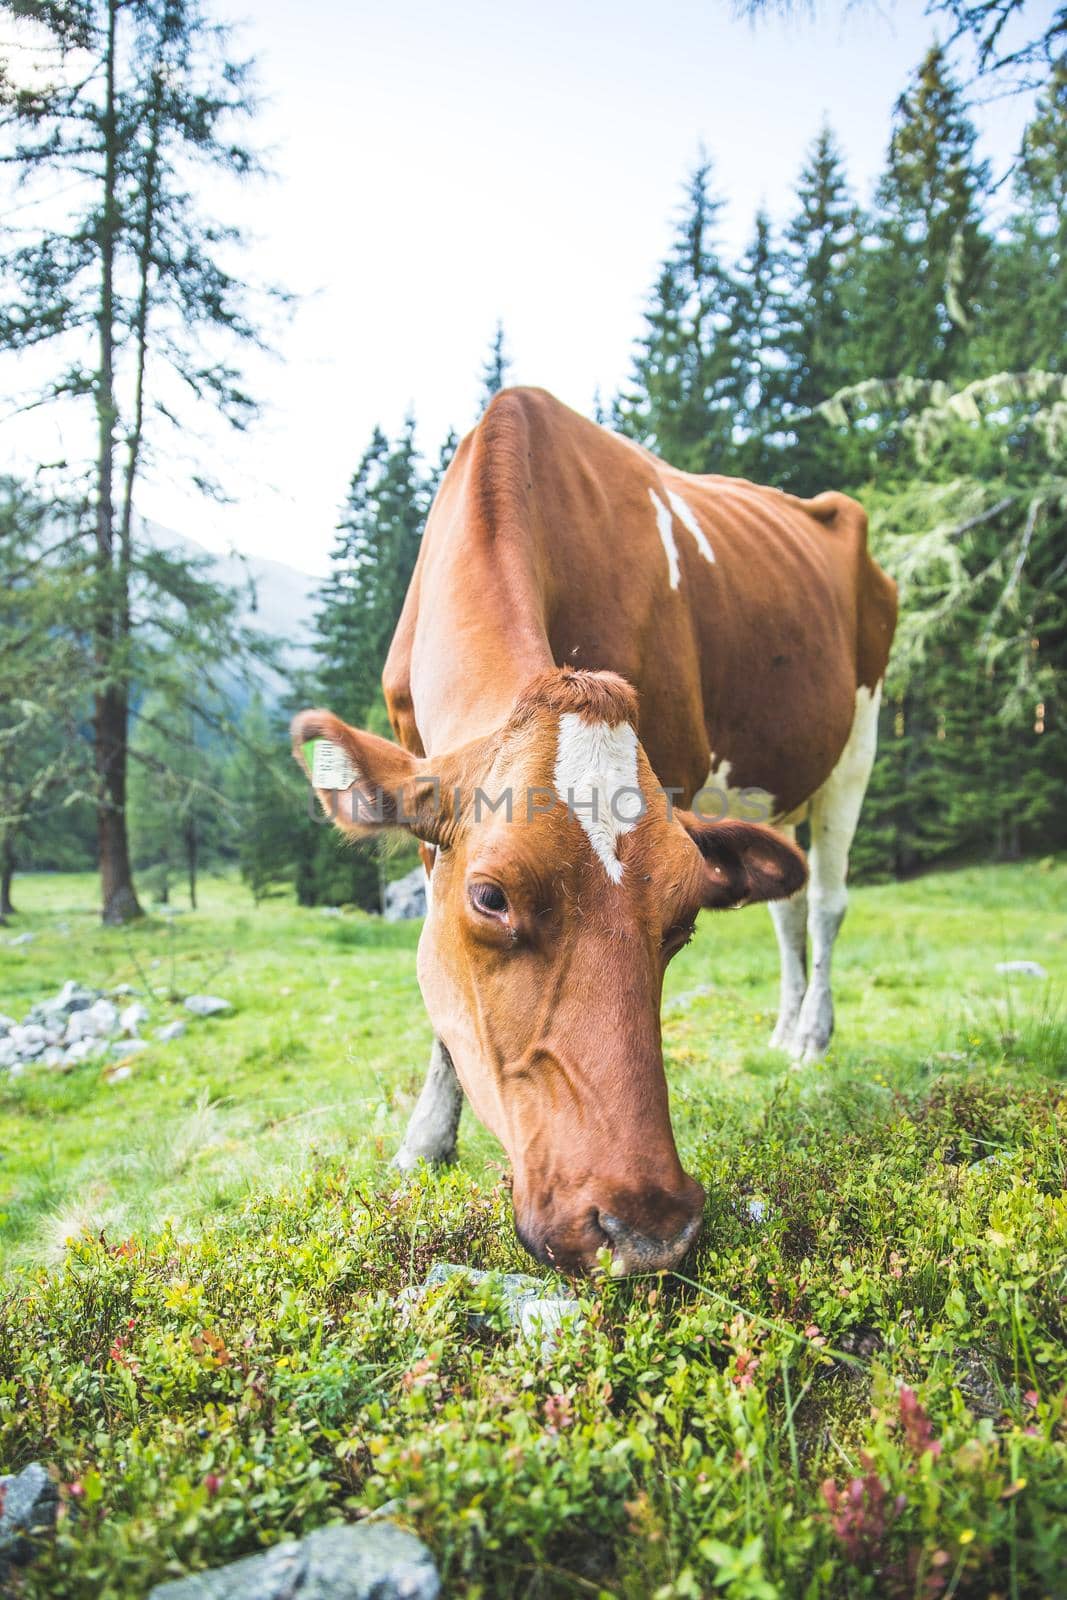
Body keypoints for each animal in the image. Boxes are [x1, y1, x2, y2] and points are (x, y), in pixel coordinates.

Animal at [294, 384, 902, 1273]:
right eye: (490, 898)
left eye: (683, 921)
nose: (644, 1228)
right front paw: (425, 1142)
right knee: (787, 907)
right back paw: (785, 1032)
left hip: (855, 742)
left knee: (824, 904)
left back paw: (814, 1037)